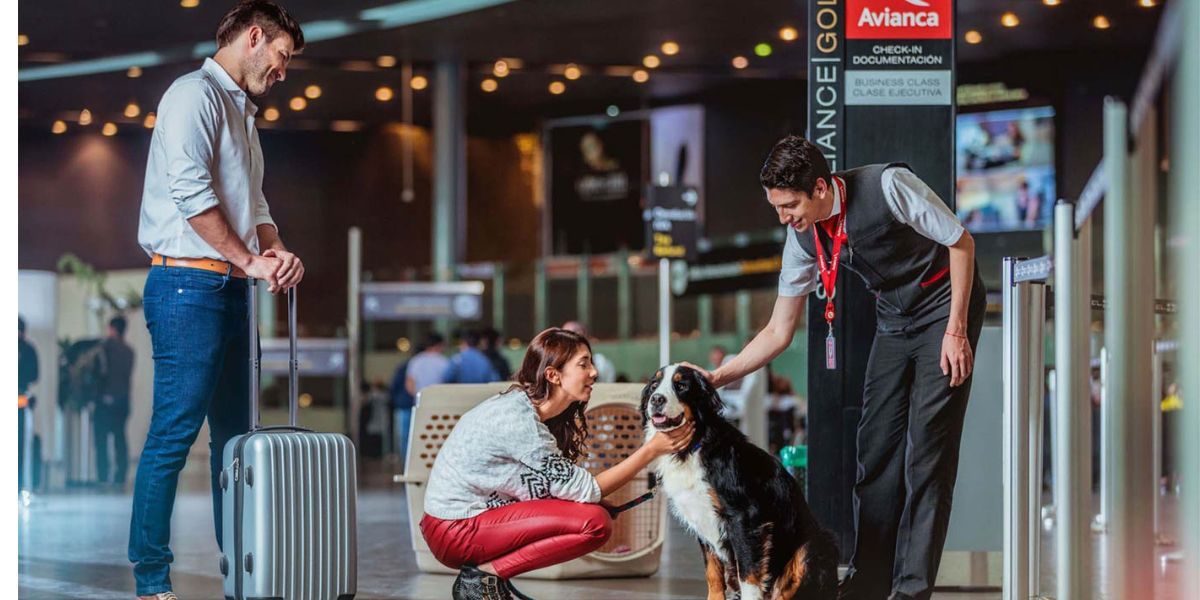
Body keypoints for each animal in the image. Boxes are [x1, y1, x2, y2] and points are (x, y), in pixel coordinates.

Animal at [643, 362, 840, 600]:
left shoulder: (744, 517)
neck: (694, 446)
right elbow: (712, 572)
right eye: (654, 384)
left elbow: (748, 573)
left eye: (681, 386)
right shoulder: (701, 519)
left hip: (815, 544)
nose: (656, 399)